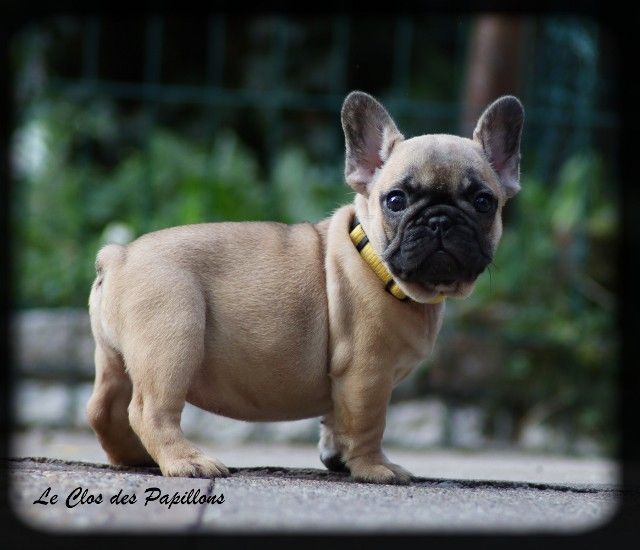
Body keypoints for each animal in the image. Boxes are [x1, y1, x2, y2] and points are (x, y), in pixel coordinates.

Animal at [86, 90, 524, 484]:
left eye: (484, 202)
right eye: (396, 200)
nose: (440, 220)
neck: (376, 263)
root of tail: (118, 255)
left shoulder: (344, 383)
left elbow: (335, 421)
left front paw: (337, 457)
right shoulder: (367, 374)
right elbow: (368, 425)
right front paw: (374, 468)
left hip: (116, 356)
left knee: (104, 408)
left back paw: (134, 457)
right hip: (172, 338)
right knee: (149, 410)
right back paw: (185, 461)